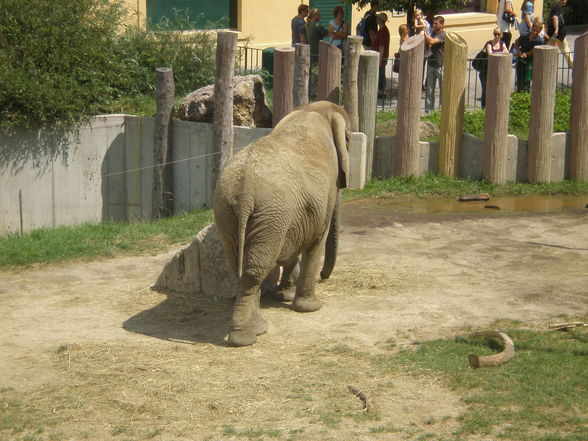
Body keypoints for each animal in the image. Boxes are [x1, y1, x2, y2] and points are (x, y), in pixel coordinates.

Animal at [214, 101, 350, 346]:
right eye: (349, 140)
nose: (324, 277)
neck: (312, 109)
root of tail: (245, 187)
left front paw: (284, 296)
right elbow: (316, 240)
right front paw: (311, 308)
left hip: (228, 211)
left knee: (239, 266)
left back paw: (257, 329)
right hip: (271, 214)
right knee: (254, 270)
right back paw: (244, 339)